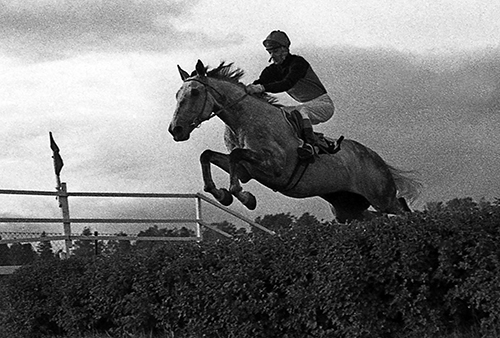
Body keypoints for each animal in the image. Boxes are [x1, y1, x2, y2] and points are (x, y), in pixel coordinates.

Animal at [169, 60, 422, 224]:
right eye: (177, 95)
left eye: (194, 92)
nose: (175, 130)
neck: (243, 121)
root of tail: (378, 159)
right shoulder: (247, 171)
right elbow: (208, 155)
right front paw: (222, 194)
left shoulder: (275, 165)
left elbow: (234, 156)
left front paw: (244, 197)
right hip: (347, 208)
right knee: (374, 216)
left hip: (381, 197)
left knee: (401, 208)